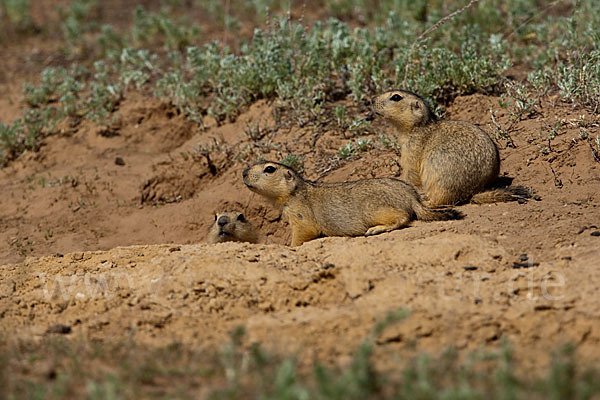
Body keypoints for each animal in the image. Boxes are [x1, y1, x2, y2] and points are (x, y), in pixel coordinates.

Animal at [241, 161, 462, 245]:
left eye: (269, 169)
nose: (243, 172)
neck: (295, 191)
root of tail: (412, 197)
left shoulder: (298, 211)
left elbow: (304, 230)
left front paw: (291, 246)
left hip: (370, 208)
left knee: (403, 217)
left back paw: (376, 229)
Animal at [370, 88, 528, 205]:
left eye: (396, 97)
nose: (372, 100)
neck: (419, 127)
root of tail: (474, 191)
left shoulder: (412, 149)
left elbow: (411, 173)